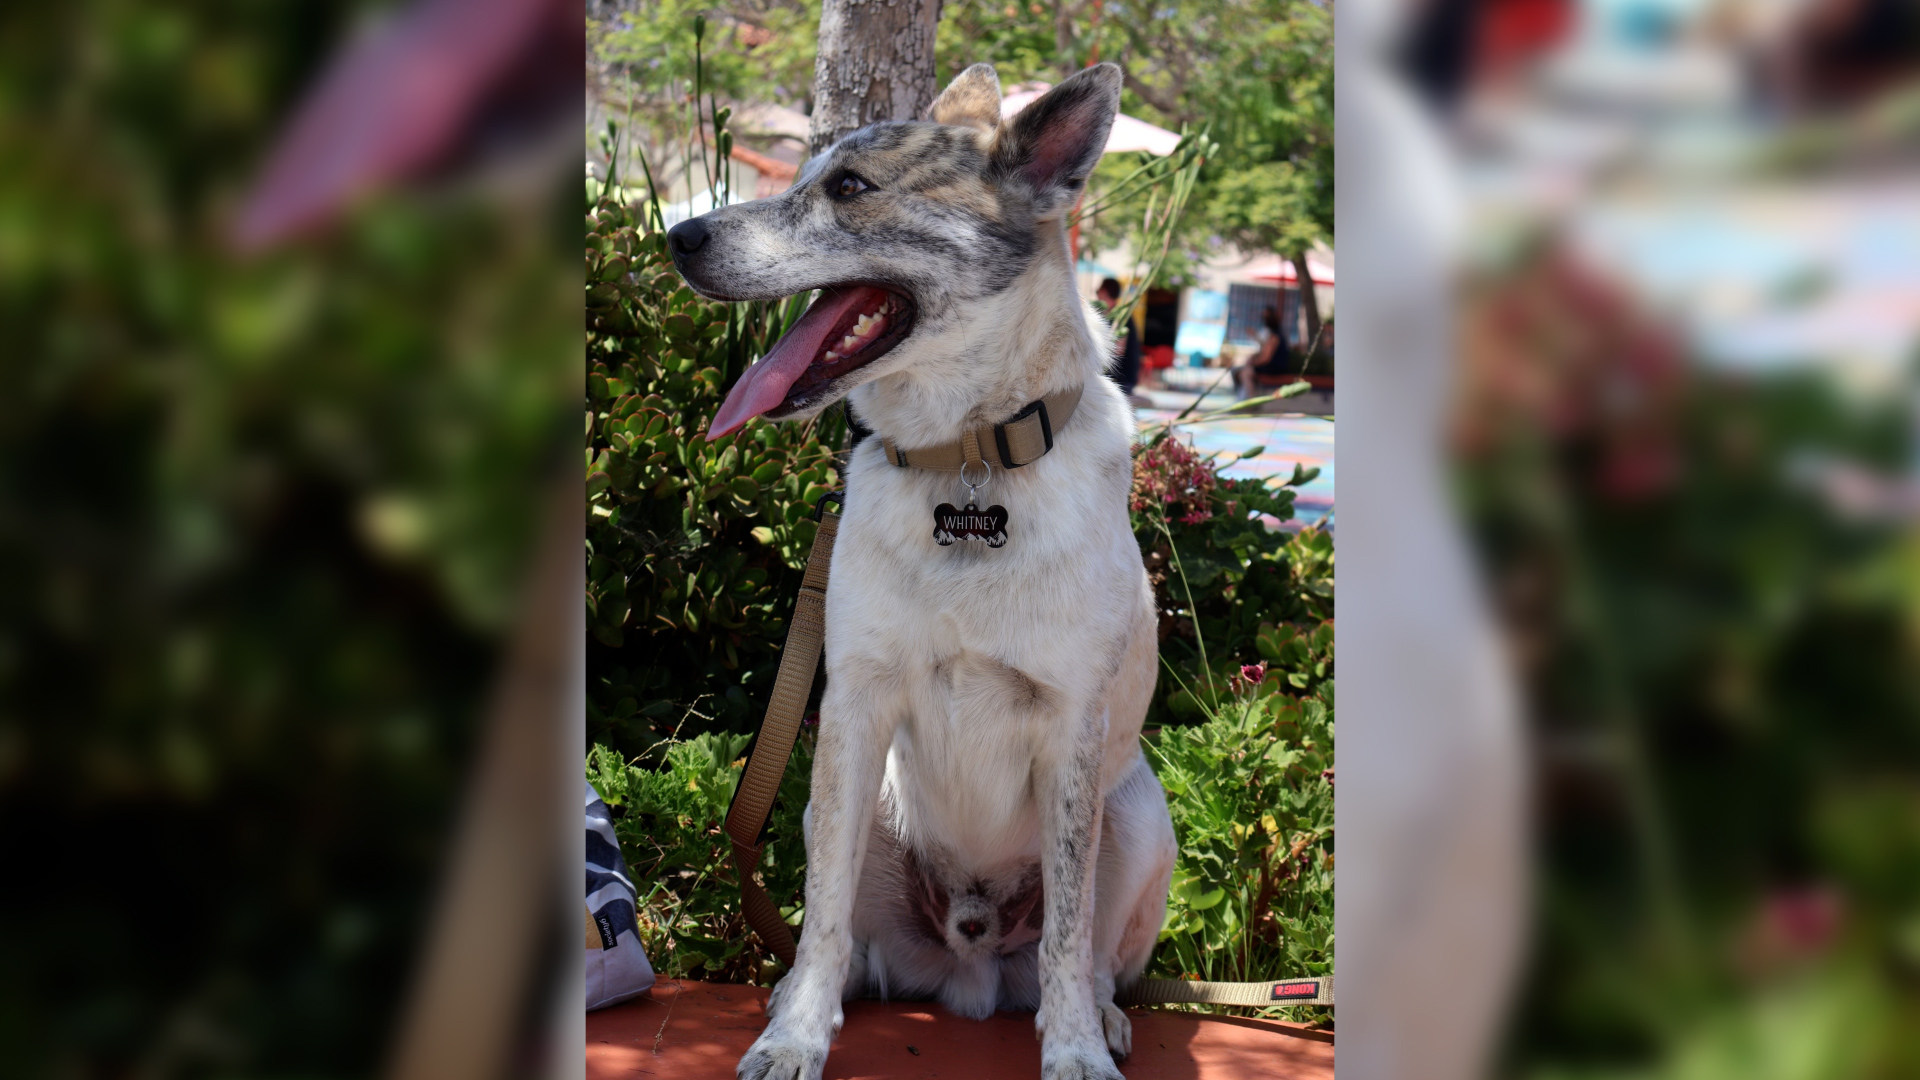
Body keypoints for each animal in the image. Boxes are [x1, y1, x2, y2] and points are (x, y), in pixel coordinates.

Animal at [668, 61, 1175, 1076]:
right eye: (802, 174)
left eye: (849, 188)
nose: (676, 237)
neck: (966, 462)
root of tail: (969, 968)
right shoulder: (853, 711)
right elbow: (821, 916)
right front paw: (794, 1037)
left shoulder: (1073, 728)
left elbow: (1069, 932)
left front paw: (1072, 1050)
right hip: (857, 812)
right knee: (848, 939)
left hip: (1142, 813)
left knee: (1093, 952)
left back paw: (1101, 1016)